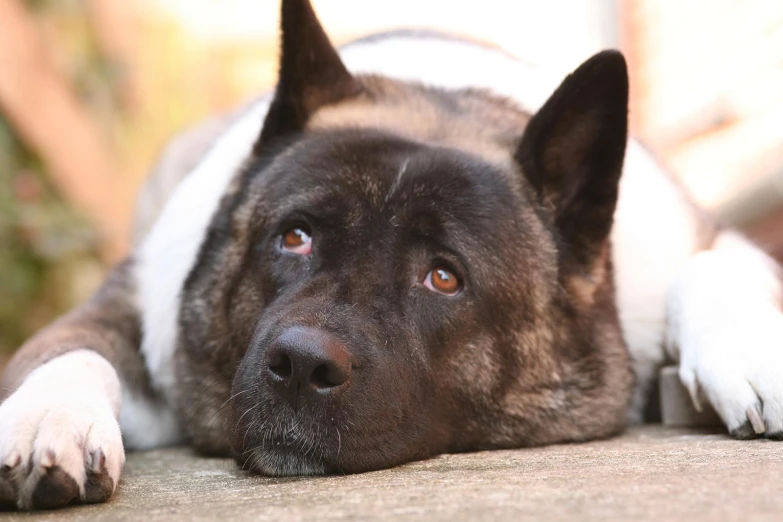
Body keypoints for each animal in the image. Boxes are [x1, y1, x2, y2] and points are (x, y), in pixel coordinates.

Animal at [1, 0, 783, 508]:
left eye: (443, 276)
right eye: (294, 236)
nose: (301, 365)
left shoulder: (708, 240)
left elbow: (711, 266)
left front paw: (752, 353)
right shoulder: (133, 301)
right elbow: (72, 348)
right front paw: (49, 417)